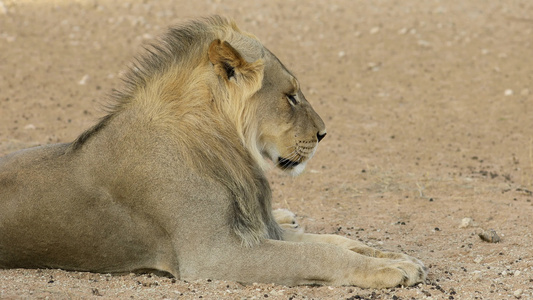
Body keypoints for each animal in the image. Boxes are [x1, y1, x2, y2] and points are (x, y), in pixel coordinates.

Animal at [0, 16, 424, 288]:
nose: (323, 134)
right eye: (290, 96)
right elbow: (318, 255)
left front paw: (400, 259)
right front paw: (392, 271)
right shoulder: (214, 254)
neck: (226, 147)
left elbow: (337, 242)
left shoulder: (250, 233)